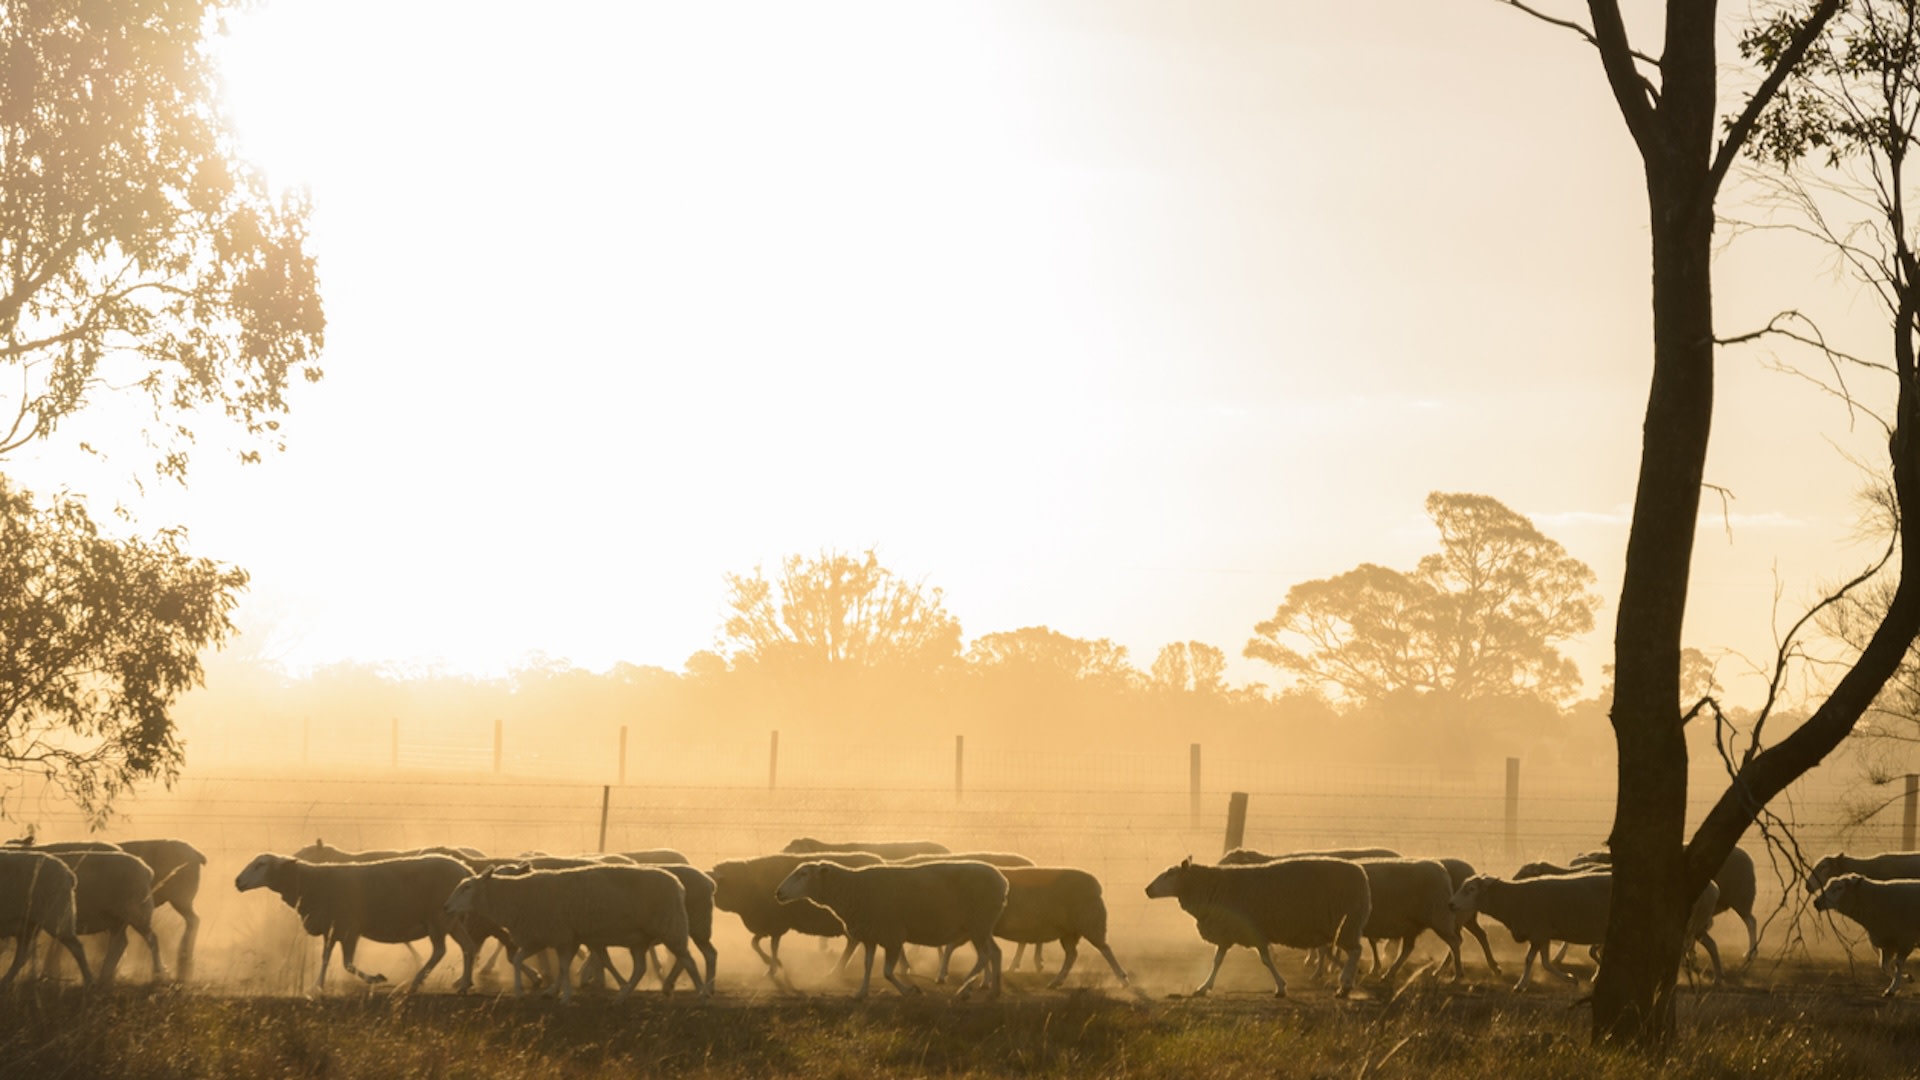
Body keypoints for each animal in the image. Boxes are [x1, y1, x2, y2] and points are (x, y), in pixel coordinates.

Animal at [0, 845, 90, 991]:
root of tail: (68, 873)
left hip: (57, 917)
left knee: (77, 948)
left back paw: (90, 981)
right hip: (28, 925)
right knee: (21, 957)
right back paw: (5, 981)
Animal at [234, 849, 474, 991]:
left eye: (260, 865)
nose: (237, 881)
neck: (310, 883)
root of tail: (465, 869)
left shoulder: (349, 927)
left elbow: (347, 964)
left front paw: (375, 978)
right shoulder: (331, 929)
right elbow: (325, 958)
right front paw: (317, 987)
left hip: (438, 919)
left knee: (440, 951)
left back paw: (416, 982)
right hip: (452, 919)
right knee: (467, 947)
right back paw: (464, 982)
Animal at [439, 857, 702, 999]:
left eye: (467, 887)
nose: (446, 907)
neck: (519, 895)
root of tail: (677, 884)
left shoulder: (560, 934)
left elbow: (564, 966)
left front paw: (562, 994)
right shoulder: (550, 936)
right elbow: (525, 960)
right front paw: (534, 990)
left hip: (671, 927)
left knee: (688, 961)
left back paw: (702, 993)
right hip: (641, 939)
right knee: (641, 968)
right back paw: (623, 995)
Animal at [768, 853, 1006, 999]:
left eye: (803, 874)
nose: (778, 893)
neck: (852, 889)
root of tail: (1002, 880)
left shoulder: (892, 934)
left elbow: (887, 972)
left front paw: (909, 990)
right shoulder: (871, 934)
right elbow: (868, 965)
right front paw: (861, 993)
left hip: (978, 923)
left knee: (985, 955)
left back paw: (964, 989)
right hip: (982, 926)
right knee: (995, 952)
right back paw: (993, 991)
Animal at [1144, 853, 1374, 999]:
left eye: (1169, 874)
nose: (1147, 889)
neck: (1212, 886)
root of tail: (1361, 872)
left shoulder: (1252, 931)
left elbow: (1266, 959)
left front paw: (1281, 987)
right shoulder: (1227, 932)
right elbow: (1217, 961)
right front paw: (1204, 987)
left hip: (1347, 924)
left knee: (1355, 951)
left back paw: (1344, 985)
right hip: (1344, 926)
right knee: (1352, 951)